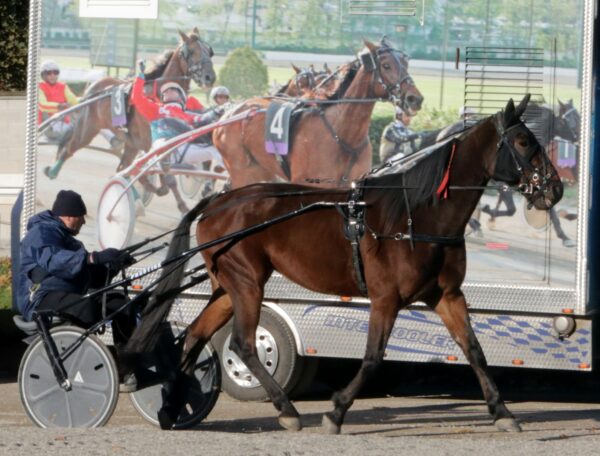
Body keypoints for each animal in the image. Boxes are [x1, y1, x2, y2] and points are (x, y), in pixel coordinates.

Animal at [42, 30, 216, 210]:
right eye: (192, 51)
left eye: (210, 51)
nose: (209, 77)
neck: (158, 95)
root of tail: (93, 88)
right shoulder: (149, 140)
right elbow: (163, 174)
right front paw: (181, 205)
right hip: (88, 129)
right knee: (70, 149)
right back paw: (53, 171)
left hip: (131, 143)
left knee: (122, 167)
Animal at [126, 94, 564, 432]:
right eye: (523, 141)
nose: (556, 188)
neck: (419, 217)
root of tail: (221, 199)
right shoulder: (386, 298)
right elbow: (372, 358)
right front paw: (336, 411)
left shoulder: (447, 296)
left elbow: (475, 351)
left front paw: (502, 412)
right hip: (247, 282)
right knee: (244, 344)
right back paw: (286, 410)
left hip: (227, 286)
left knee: (194, 336)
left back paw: (172, 407)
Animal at [213, 38, 424, 188]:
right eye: (386, 65)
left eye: (405, 63)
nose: (415, 99)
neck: (344, 135)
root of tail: (229, 113)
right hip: (243, 171)